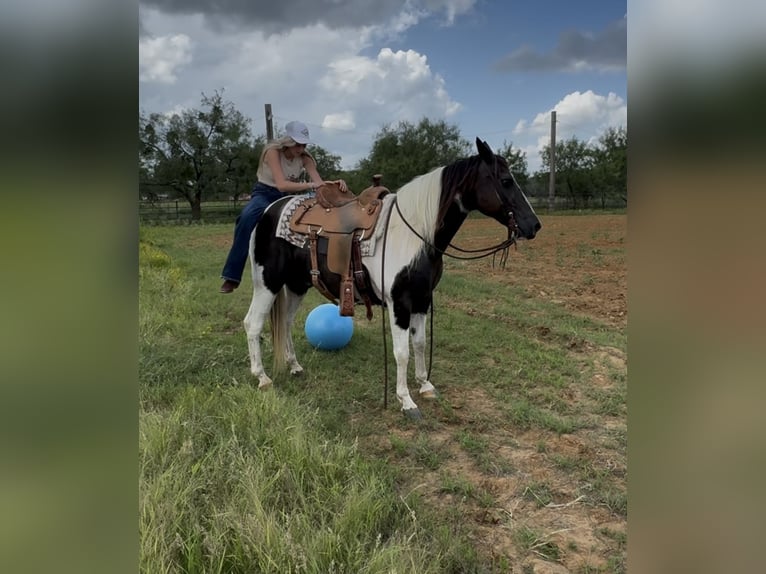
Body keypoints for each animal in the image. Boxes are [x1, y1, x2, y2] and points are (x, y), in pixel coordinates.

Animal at [243, 137, 541, 418]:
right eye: (506, 181)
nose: (534, 225)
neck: (414, 234)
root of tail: (269, 211)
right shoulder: (399, 303)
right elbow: (402, 352)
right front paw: (406, 401)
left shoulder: (422, 299)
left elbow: (419, 344)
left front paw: (425, 385)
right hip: (267, 283)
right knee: (253, 323)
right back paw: (262, 377)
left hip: (296, 285)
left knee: (285, 322)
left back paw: (294, 366)